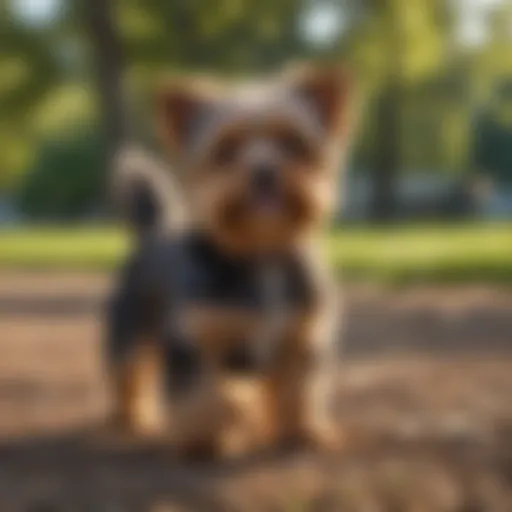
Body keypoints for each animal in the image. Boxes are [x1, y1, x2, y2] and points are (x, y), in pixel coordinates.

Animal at [106, 64, 354, 460]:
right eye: (226, 149)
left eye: (292, 142)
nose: (264, 171)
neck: (260, 251)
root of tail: (154, 230)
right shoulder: (197, 337)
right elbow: (207, 397)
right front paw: (206, 438)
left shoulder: (300, 338)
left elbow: (300, 391)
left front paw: (303, 432)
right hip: (129, 332)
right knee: (128, 376)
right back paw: (133, 419)